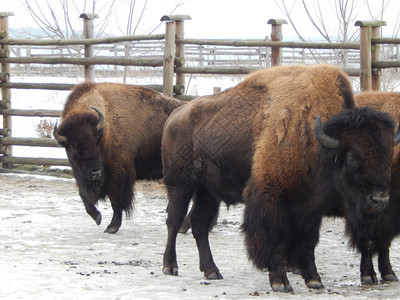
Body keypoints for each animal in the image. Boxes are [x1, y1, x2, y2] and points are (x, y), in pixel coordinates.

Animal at [53, 82, 183, 234]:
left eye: (96, 141)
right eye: (73, 146)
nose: (95, 172)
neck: (106, 128)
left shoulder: (118, 175)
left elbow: (116, 201)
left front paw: (112, 227)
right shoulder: (85, 178)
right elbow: (84, 196)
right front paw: (97, 217)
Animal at [161, 63, 398, 292]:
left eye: (388, 156)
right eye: (351, 157)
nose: (379, 200)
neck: (315, 140)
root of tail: (175, 115)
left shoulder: (312, 208)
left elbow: (308, 241)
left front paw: (314, 280)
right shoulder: (272, 199)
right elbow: (276, 240)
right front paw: (280, 282)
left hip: (208, 191)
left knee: (200, 224)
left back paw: (211, 271)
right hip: (180, 185)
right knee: (174, 220)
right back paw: (170, 267)